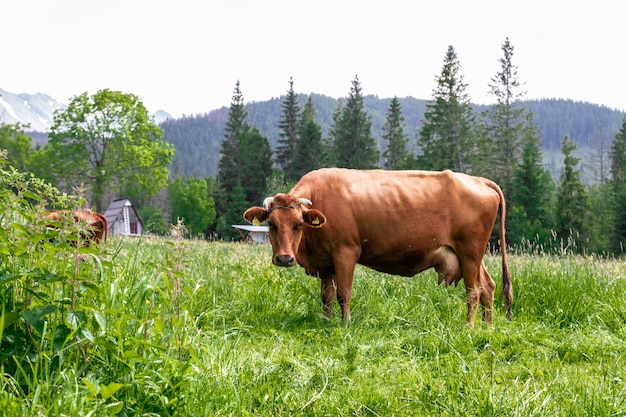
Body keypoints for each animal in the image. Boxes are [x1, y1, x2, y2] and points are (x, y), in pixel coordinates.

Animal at [241, 167, 510, 326]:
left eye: (298, 224)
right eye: (272, 224)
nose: (285, 259)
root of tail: (479, 180)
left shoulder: (345, 253)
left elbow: (343, 294)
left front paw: (345, 324)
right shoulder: (324, 260)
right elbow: (326, 296)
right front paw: (326, 322)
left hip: (470, 252)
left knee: (474, 291)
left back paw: (469, 327)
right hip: (471, 256)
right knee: (488, 286)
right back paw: (487, 326)